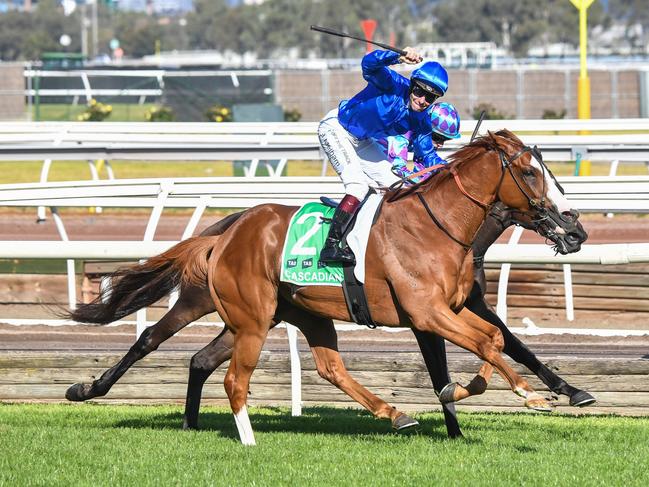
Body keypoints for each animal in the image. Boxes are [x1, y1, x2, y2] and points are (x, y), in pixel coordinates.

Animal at [67, 131, 584, 446]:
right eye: (531, 172)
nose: (574, 227)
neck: (438, 227)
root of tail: (228, 231)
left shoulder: (453, 307)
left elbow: (495, 338)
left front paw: (467, 390)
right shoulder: (427, 313)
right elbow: (486, 343)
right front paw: (527, 395)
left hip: (285, 314)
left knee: (311, 366)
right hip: (245, 314)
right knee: (169, 346)